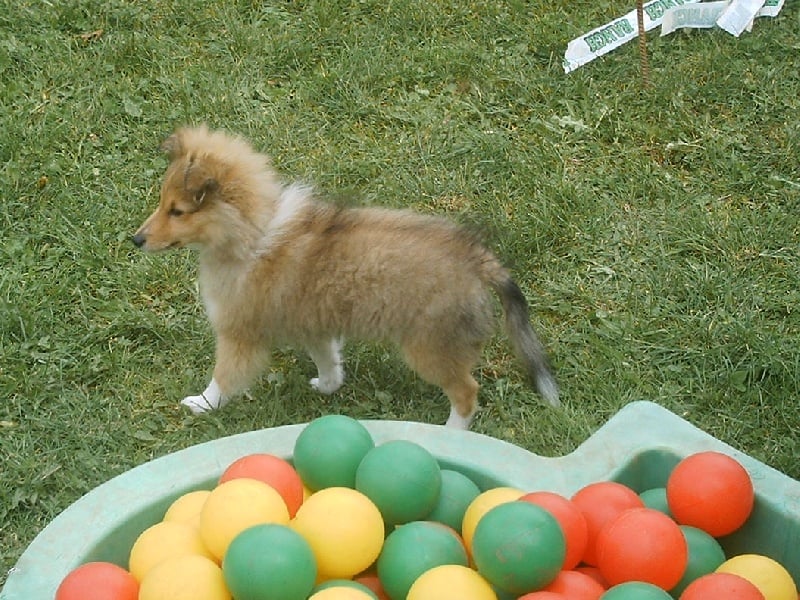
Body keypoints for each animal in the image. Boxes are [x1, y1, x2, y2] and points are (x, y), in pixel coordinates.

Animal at [133, 125, 556, 426]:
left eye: (177, 211)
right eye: (162, 203)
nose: (136, 239)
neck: (252, 230)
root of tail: (478, 259)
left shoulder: (240, 334)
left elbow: (223, 377)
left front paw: (201, 404)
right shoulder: (314, 324)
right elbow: (328, 360)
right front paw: (327, 386)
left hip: (429, 348)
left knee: (467, 392)